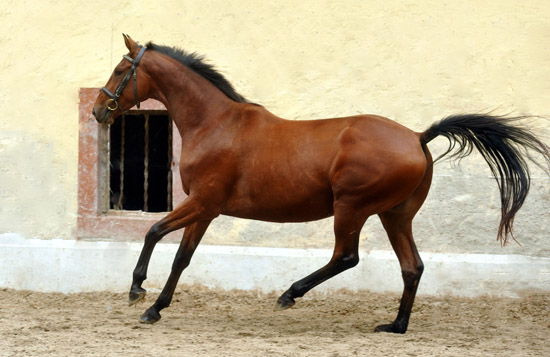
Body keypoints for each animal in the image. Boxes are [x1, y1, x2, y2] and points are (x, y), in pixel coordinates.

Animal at [94, 34, 550, 332]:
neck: (216, 124)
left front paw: (137, 290)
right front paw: (154, 308)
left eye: (119, 70)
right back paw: (395, 325)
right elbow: (181, 258)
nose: (99, 109)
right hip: (394, 214)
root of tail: (418, 137)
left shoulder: (203, 203)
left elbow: (154, 232)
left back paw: (289, 294)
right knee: (412, 266)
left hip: (352, 208)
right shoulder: (205, 210)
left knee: (347, 257)